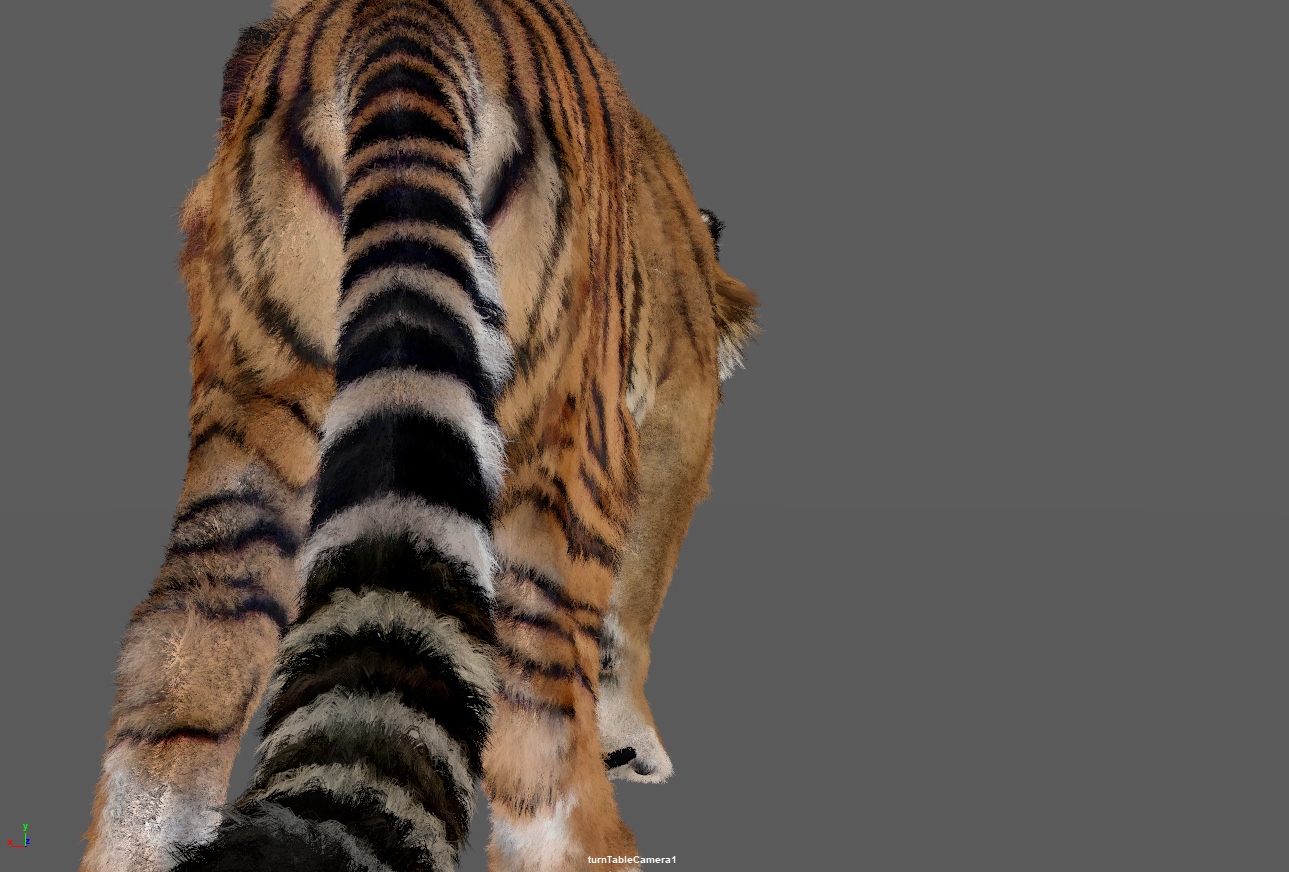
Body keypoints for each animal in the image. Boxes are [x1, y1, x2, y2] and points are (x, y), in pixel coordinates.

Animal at [80, 1, 759, 870]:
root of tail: (397, 28)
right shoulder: (676, 419)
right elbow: (636, 600)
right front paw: (633, 740)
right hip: (560, 470)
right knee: (540, 753)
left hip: (255, 427)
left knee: (174, 688)